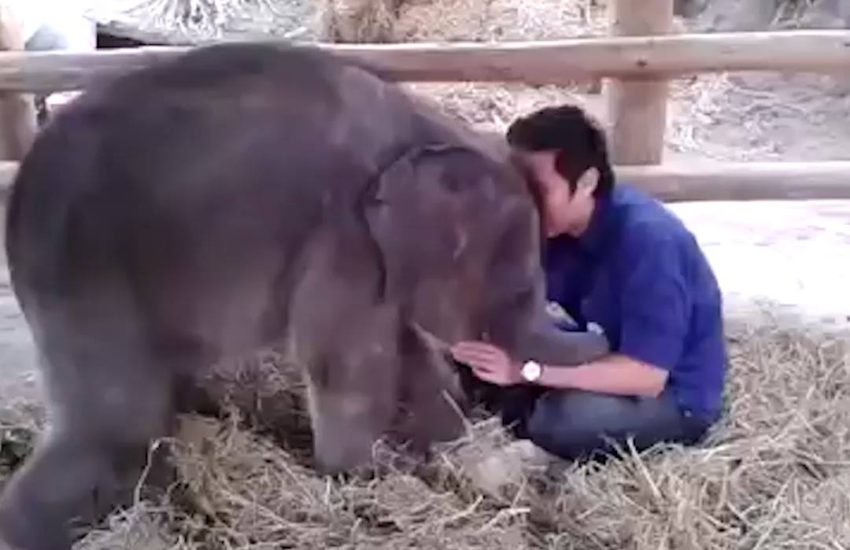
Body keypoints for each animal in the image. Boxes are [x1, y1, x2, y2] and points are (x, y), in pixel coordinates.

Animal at [0, 42, 609, 550]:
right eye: (519, 285)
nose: (601, 329)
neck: (428, 133)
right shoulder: (343, 236)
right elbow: (347, 361)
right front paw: (363, 477)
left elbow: (401, 345)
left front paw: (442, 445)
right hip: (86, 272)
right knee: (115, 428)